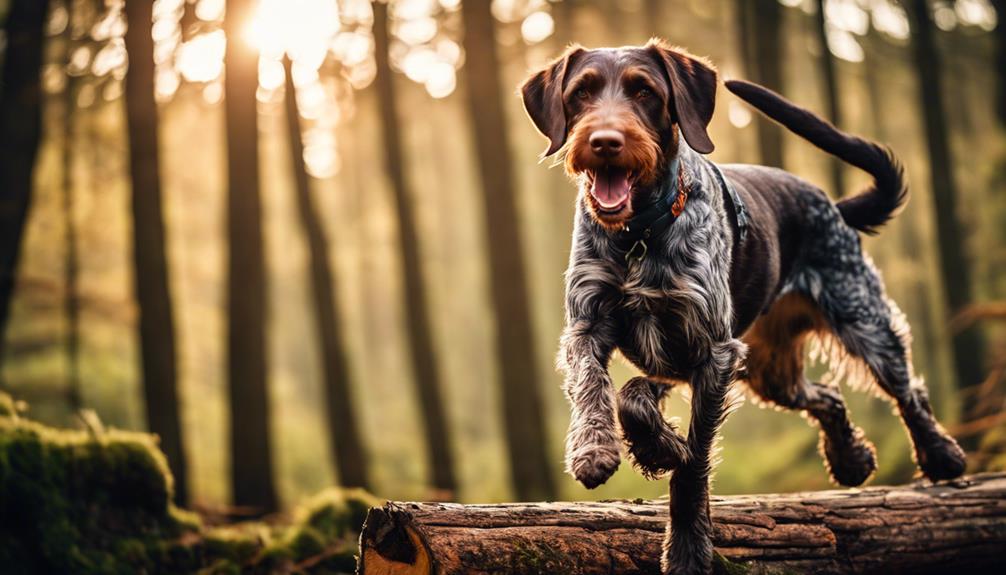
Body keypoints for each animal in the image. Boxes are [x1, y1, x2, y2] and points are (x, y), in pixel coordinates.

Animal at [519, 38, 965, 570]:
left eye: (644, 91)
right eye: (581, 93)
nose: (605, 141)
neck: (639, 234)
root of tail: (832, 206)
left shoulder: (712, 352)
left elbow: (692, 461)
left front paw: (687, 546)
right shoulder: (592, 326)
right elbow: (611, 392)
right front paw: (605, 451)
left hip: (862, 320)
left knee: (907, 390)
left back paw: (939, 455)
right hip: (770, 371)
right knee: (828, 396)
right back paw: (850, 459)